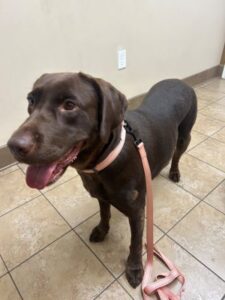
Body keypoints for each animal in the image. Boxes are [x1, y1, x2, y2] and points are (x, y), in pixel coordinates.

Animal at [7, 72, 197, 286]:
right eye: (31, 100)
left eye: (69, 105)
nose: (14, 146)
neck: (103, 162)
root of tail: (179, 80)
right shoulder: (101, 195)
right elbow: (104, 213)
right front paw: (102, 230)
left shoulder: (137, 212)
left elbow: (135, 242)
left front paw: (134, 267)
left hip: (185, 135)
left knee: (177, 155)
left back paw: (174, 171)